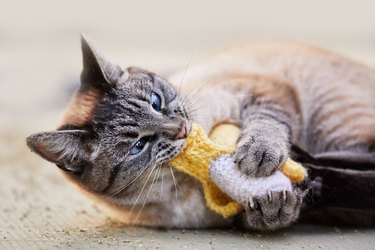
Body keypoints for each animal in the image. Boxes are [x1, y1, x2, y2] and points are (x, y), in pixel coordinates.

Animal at [26, 35, 375, 230]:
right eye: (138, 146)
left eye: (156, 102)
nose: (180, 129)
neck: (183, 184)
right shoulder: (234, 219)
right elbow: (262, 219)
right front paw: (275, 206)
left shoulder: (264, 91)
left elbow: (266, 124)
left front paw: (258, 155)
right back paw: (314, 179)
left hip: (334, 121)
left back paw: (309, 166)